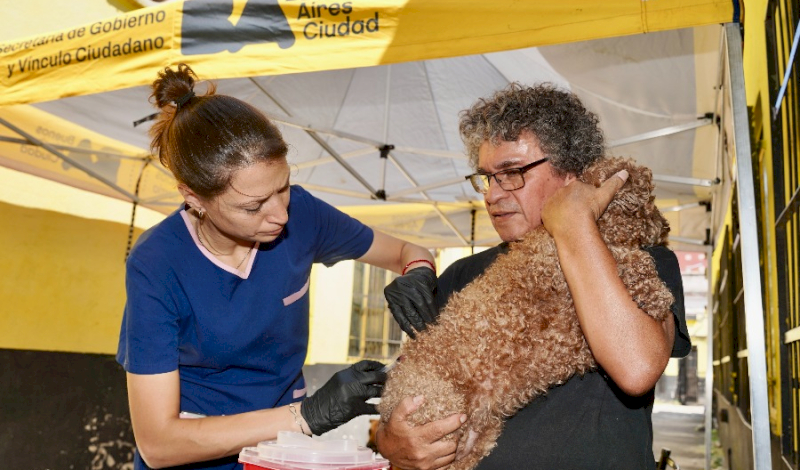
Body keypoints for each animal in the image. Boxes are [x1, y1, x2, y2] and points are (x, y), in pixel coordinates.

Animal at [380, 157, 676, 470]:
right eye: (649, 203)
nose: (667, 228)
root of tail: (387, 403)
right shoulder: (555, 264)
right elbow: (629, 260)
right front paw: (658, 294)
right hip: (438, 407)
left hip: (478, 439)